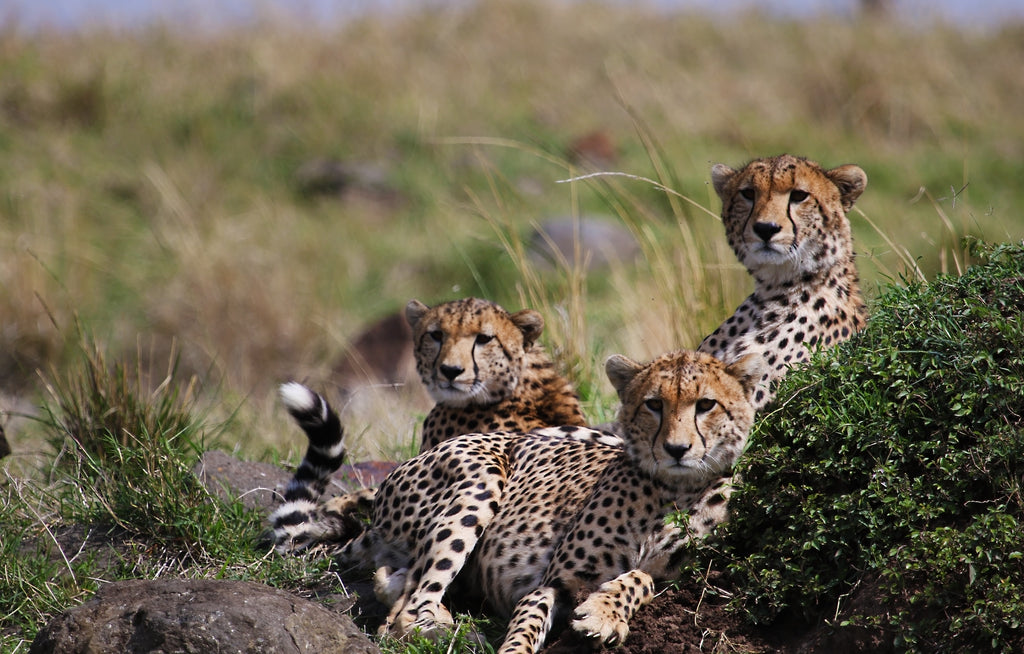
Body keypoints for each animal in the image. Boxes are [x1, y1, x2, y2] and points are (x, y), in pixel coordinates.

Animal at [280, 348, 759, 652]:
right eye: (654, 404)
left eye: (706, 405)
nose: (677, 449)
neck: (672, 491)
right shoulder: (551, 582)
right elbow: (524, 630)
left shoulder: (680, 579)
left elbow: (641, 579)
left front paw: (603, 614)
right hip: (480, 478)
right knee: (402, 617)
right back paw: (444, 627)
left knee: (400, 588)